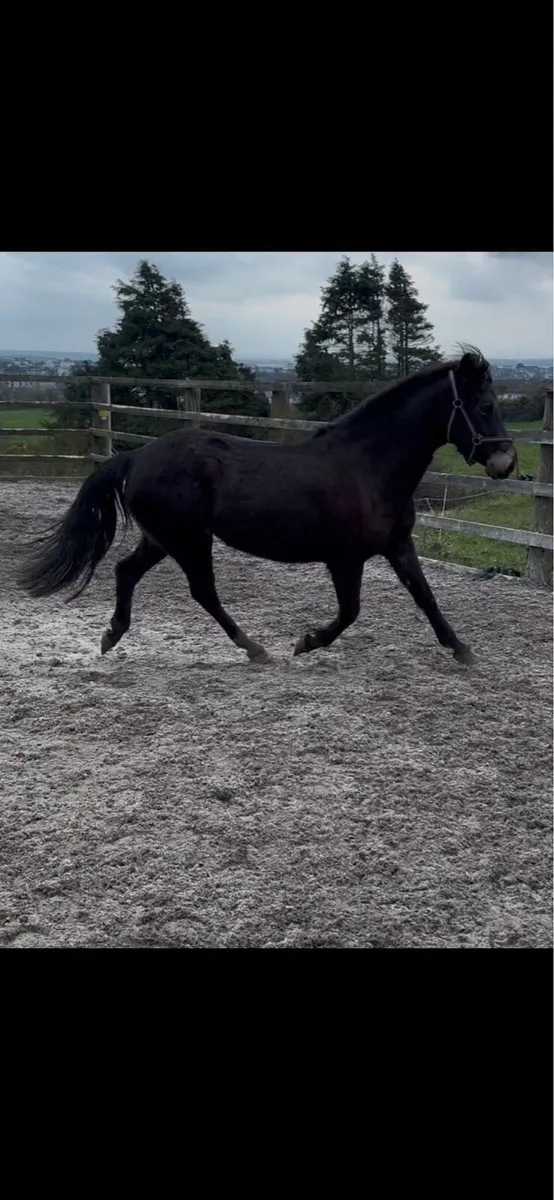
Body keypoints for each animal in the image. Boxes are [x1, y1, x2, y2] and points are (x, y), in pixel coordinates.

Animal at [18, 346, 516, 668]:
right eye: (484, 405)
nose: (506, 462)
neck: (368, 466)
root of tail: (137, 456)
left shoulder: (397, 545)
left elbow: (425, 596)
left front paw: (462, 650)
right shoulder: (345, 559)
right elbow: (351, 612)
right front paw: (306, 643)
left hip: (162, 538)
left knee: (126, 571)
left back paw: (111, 636)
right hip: (189, 540)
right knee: (203, 592)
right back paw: (254, 649)